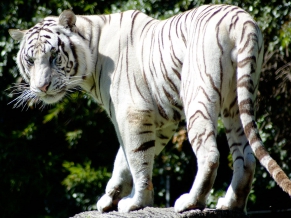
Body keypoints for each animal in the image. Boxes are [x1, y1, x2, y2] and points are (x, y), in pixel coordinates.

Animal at [9, 4, 291, 214]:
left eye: (54, 56)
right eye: (30, 61)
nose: (42, 87)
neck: (92, 48)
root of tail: (242, 19)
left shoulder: (133, 113)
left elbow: (137, 158)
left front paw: (136, 202)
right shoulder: (162, 120)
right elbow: (123, 159)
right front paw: (109, 198)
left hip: (198, 94)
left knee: (210, 154)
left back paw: (190, 202)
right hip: (236, 101)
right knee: (246, 155)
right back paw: (231, 204)